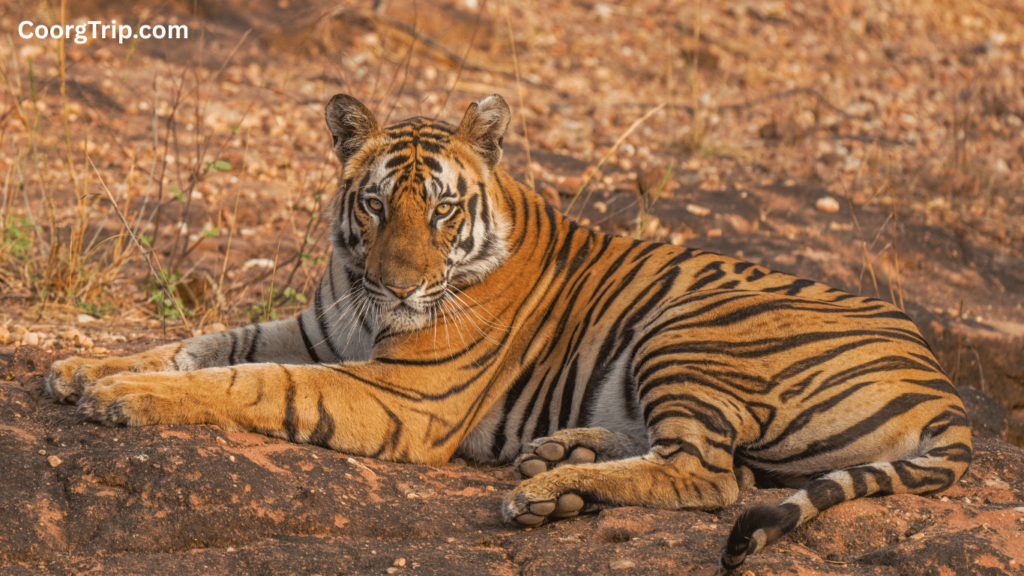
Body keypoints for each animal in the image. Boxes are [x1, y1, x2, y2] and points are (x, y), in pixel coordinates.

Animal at [48, 93, 970, 565]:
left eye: (442, 207)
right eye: (375, 203)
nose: (399, 283)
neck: (362, 295)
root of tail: (944, 385)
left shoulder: (403, 393)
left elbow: (248, 380)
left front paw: (121, 395)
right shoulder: (318, 331)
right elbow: (210, 343)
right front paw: (81, 366)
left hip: (690, 328)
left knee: (710, 478)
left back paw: (542, 489)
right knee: (716, 463)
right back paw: (560, 462)